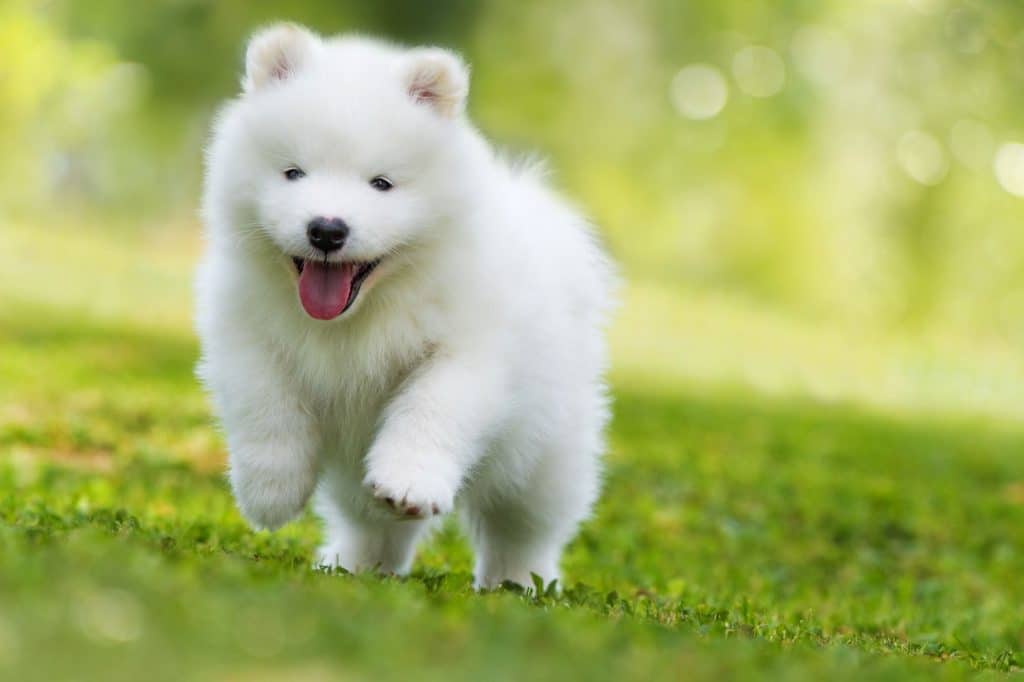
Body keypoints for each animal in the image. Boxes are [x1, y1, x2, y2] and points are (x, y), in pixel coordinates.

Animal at [197, 21, 614, 585]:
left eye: (382, 184)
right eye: (293, 173)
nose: (327, 229)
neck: (360, 316)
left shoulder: (470, 349)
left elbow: (433, 407)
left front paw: (409, 481)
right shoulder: (241, 326)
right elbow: (264, 400)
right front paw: (270, 492)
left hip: (547, 451)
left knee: (525, 525)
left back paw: (519, 582)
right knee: (372, 524)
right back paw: (356, 564)